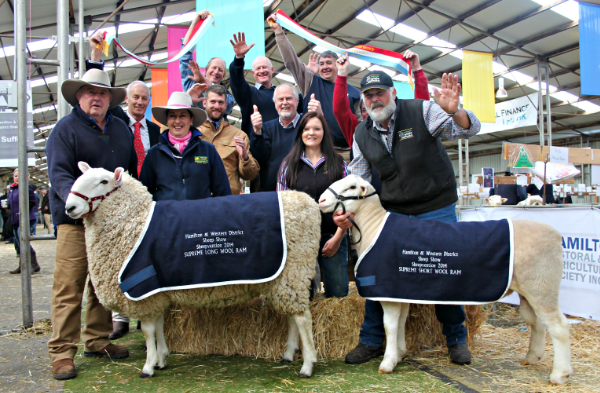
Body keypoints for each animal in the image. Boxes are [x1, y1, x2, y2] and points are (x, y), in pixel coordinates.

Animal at [64, 162, 324, 376]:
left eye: (103, 181)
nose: (70, 207)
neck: (133, 221)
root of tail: (307, 203)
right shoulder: (156, 288)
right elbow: (159, 325)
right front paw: (161, 359)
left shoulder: (143, 291)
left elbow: (148, 330)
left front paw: (148, 367)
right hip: (285, 278)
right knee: (292, 316)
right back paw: (289, 354)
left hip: (294, 270)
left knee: (302, 318)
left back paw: (307, 365)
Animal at [322, 174, 576, 382]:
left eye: (352, 186)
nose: (322, 200)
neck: (373, 227)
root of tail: (556, 236)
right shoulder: (398, 287)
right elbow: (402, 321)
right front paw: (400, 354)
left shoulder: (387, 290)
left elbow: (390, 325)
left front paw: (387, 362)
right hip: (531, 289)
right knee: (537, 323)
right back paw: (532, 358)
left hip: (542, 285)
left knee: (559, 326)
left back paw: (559, 375)